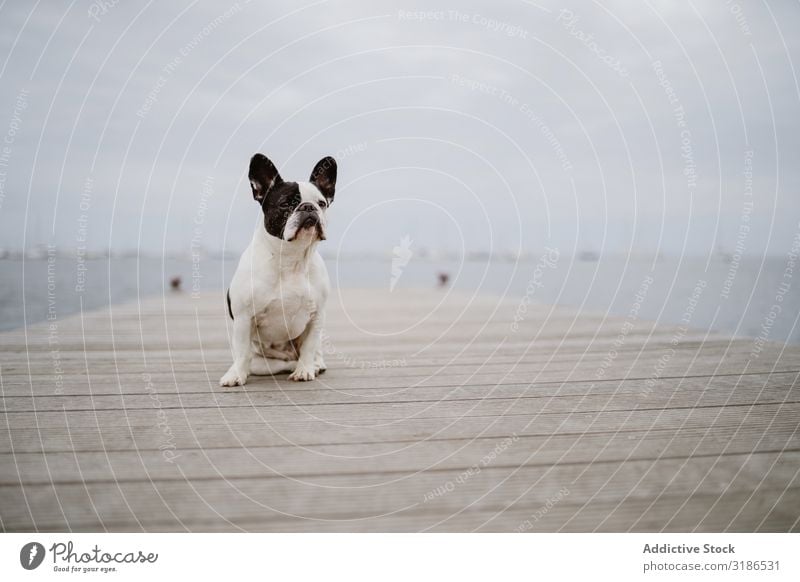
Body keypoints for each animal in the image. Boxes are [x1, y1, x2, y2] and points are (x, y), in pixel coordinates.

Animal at [217, 154, 336, 388]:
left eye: (321, 203)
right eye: (285, 204)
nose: (308, 207)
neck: (291, 258)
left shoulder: (316, 316)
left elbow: (309, 346)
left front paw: (305, 370)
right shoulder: (244, 318)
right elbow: (242, 351)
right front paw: (235, 375)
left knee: (311, 351)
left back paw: (313, 365)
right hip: (261, 362)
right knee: (269, 363)